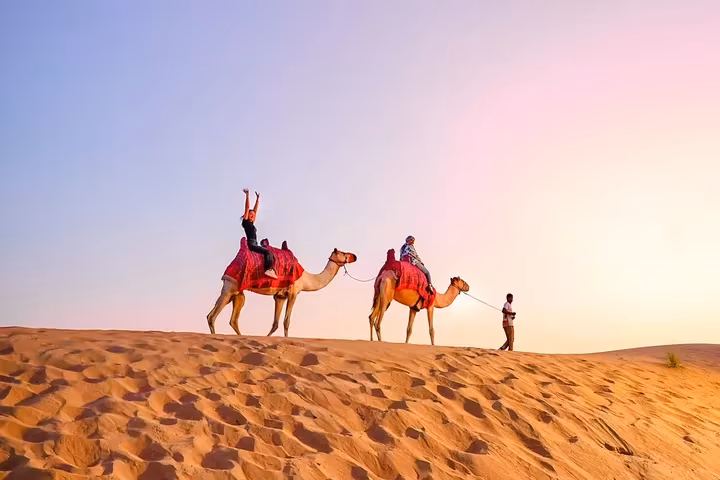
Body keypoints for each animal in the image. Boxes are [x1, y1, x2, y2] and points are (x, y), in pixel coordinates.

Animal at [207, 248, 357, 337]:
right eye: (343, 253)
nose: (354, 256)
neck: (307, 279)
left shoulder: (279, 297)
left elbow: (275, 323)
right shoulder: (293, 293)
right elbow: (286, 322)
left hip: (237, 293)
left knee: (231, 319)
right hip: (230, 287)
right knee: (212, 316)